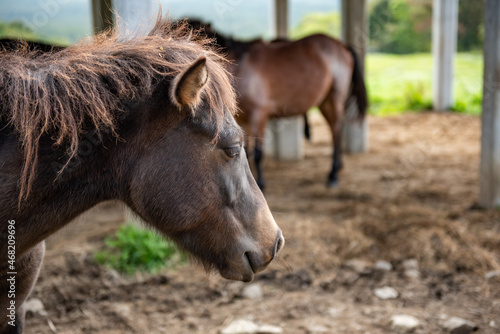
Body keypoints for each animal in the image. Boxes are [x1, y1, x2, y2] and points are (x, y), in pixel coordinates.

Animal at [189, 19, 370, 189]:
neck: (241, 66)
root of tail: (341, 45)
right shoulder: (242, 119)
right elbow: (245, 151)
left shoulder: (259, 115)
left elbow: (258, 153)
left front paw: (261, 183)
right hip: (325, 102)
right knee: (335, 130)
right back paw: (338, 167)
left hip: (334, 99)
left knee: (337, 131)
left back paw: (333, 175)